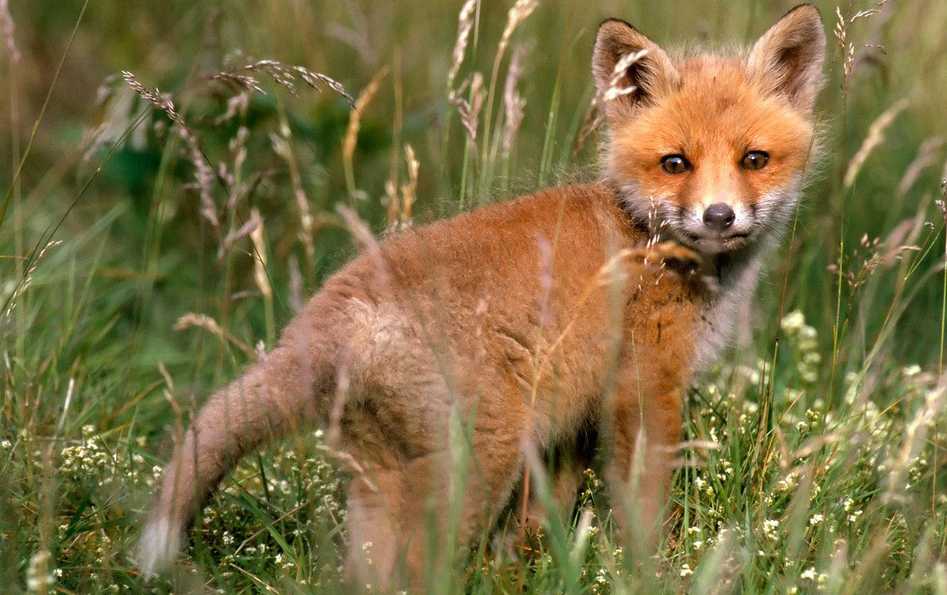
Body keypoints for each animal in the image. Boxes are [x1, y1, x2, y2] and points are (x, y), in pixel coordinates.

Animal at [137, 3, 824, 592]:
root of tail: (325, 317)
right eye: (675, 163)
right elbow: (644, 514)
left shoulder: (567, 426)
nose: (719, 215)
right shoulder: (643, 391)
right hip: (476, 465)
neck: (645, 238)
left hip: (384, 481)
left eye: (754, 158)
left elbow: (536, 532)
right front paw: (658, 572)